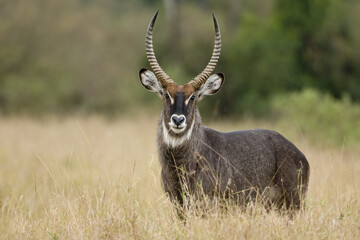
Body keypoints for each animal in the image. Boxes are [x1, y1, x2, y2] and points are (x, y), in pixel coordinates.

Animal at [139, 10, 310, 211]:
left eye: (193, 97)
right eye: (167, 95)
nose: (178, 120)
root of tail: (300, 154)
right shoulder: (178, 205)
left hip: (293, 203)